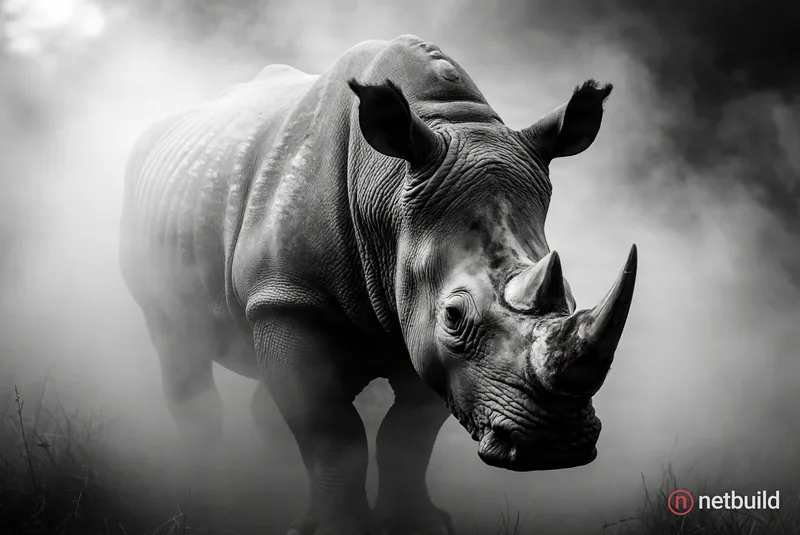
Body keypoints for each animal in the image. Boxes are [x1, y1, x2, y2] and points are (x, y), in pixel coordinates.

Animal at [119, 34, 638, 535]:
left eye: (571, 298)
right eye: (454, 316)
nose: (555, 446)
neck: (387, 198)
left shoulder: (420, 331)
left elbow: (406, 435)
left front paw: (418, 525)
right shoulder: (286, 298)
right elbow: (329, 429)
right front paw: (339, 530)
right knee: (176, 343)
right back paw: (210, 486)